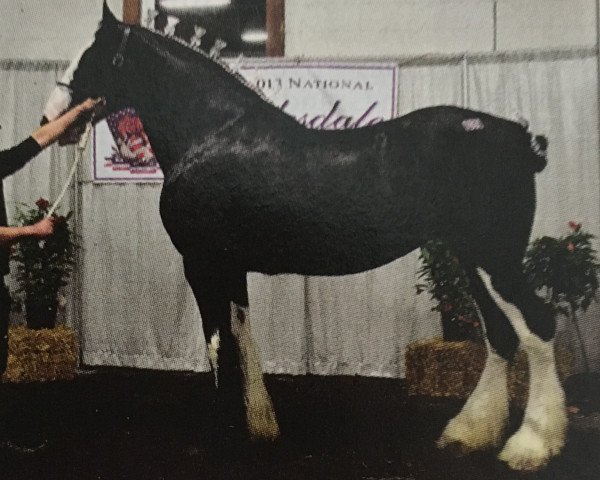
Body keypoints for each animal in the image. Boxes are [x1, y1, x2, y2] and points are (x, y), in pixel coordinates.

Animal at [43, 1, 568, 470]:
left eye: (92, 54)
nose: (51, 119)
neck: (212, 135)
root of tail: (519, 137)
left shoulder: (202, 262)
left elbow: (217, 346)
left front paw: (224, 438)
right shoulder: (230, 266)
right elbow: (242, 334)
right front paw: (260, 425)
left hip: (495, 256)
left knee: (537, 324)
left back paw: (531, 446)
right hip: (470, 257)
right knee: (501, 333)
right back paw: (469, 433)